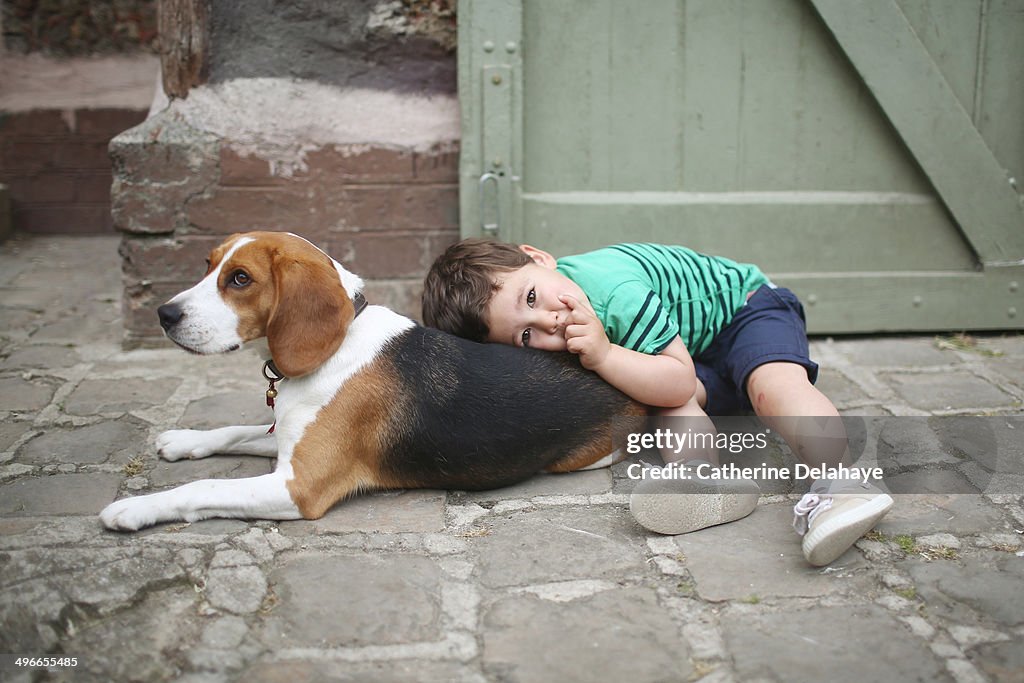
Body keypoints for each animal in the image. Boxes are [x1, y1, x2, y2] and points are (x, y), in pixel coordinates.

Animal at [99, 232, 643, 532]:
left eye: (240, 279)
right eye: (208, 266)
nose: (165, 314)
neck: (337, 345)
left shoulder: (298, 486)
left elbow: (202, 487)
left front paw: (135, 508)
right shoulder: (289, 440)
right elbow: (236, 432)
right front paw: (184, 440)